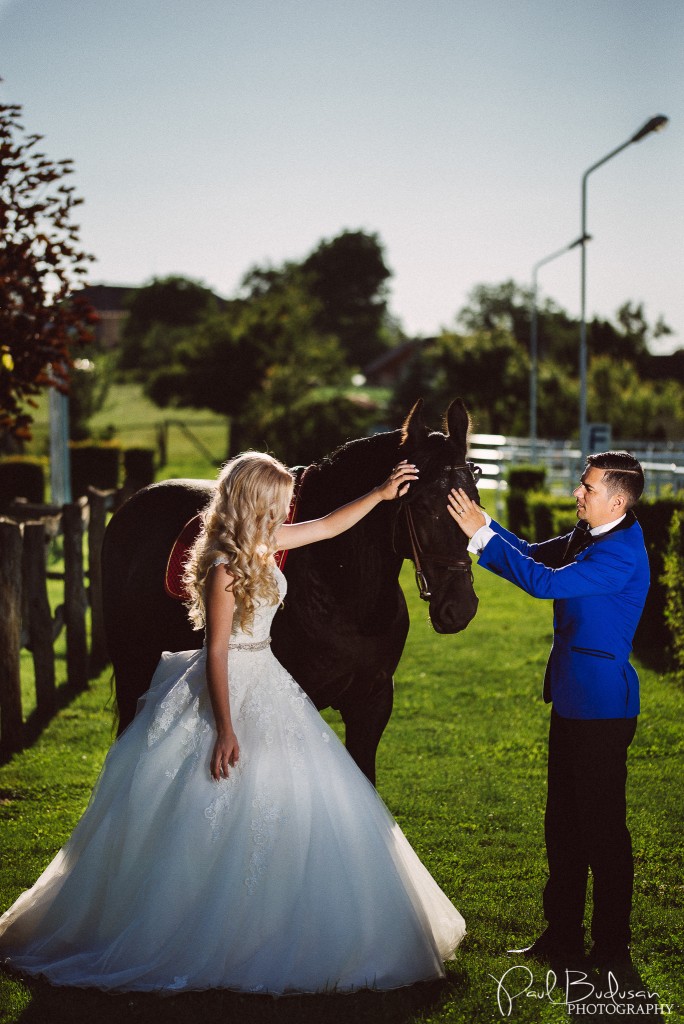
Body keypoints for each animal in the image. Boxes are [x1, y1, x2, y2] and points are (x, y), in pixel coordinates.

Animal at [104, 395, 483, 778]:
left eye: (475, 503)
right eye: (422, 506)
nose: (460, 607)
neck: (342, 592)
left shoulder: (372, 703)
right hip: (132, 668)